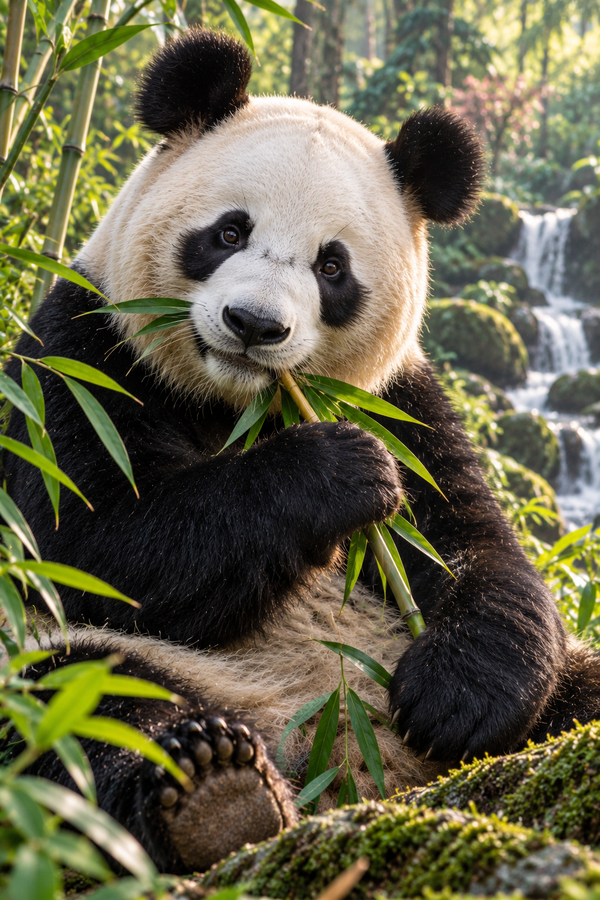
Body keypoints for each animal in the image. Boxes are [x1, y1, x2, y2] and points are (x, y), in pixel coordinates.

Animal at [4, 27, 600, 875]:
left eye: (331, 266)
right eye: (228, 232)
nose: (254, 325)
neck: (242, 406)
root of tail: (349, 764)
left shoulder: (403, 400)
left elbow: (475, 546)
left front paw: (454, 698)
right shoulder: (82, 353)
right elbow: (91, 543)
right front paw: (338, 472)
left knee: (580, 690)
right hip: (117, 667)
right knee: (83, 702)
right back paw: (214, 792)